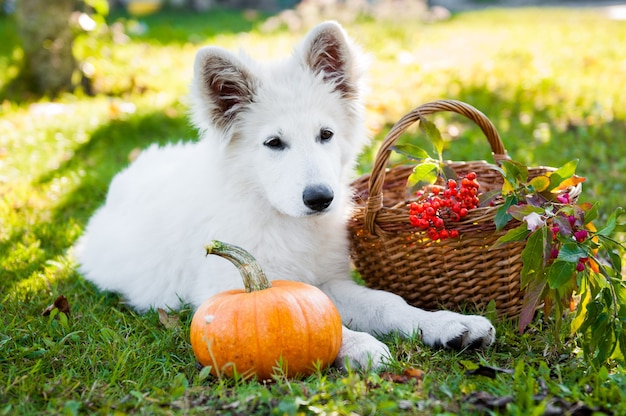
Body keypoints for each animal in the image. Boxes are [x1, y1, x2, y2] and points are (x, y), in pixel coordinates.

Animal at [74, 21, 492, 368]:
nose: (320, 199)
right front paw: (359, 345)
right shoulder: (225, 292)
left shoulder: (329, 282)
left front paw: (445, 324)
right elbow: (318, 326)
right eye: (274, 143)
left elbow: (388, 302)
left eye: (326, 134)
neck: (282, 219)